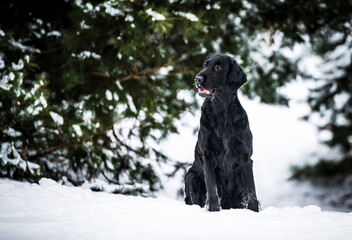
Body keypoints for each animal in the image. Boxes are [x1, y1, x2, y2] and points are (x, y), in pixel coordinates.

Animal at [184, 53, 258, 212]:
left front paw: (254, 211)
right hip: (191, 176)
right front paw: (214, 210)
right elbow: (212, 189)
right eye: (204, 65)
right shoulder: (208, 155)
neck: (222, 114)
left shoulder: (245, 156)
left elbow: (251, 191)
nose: (197, 79)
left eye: (218, 67)